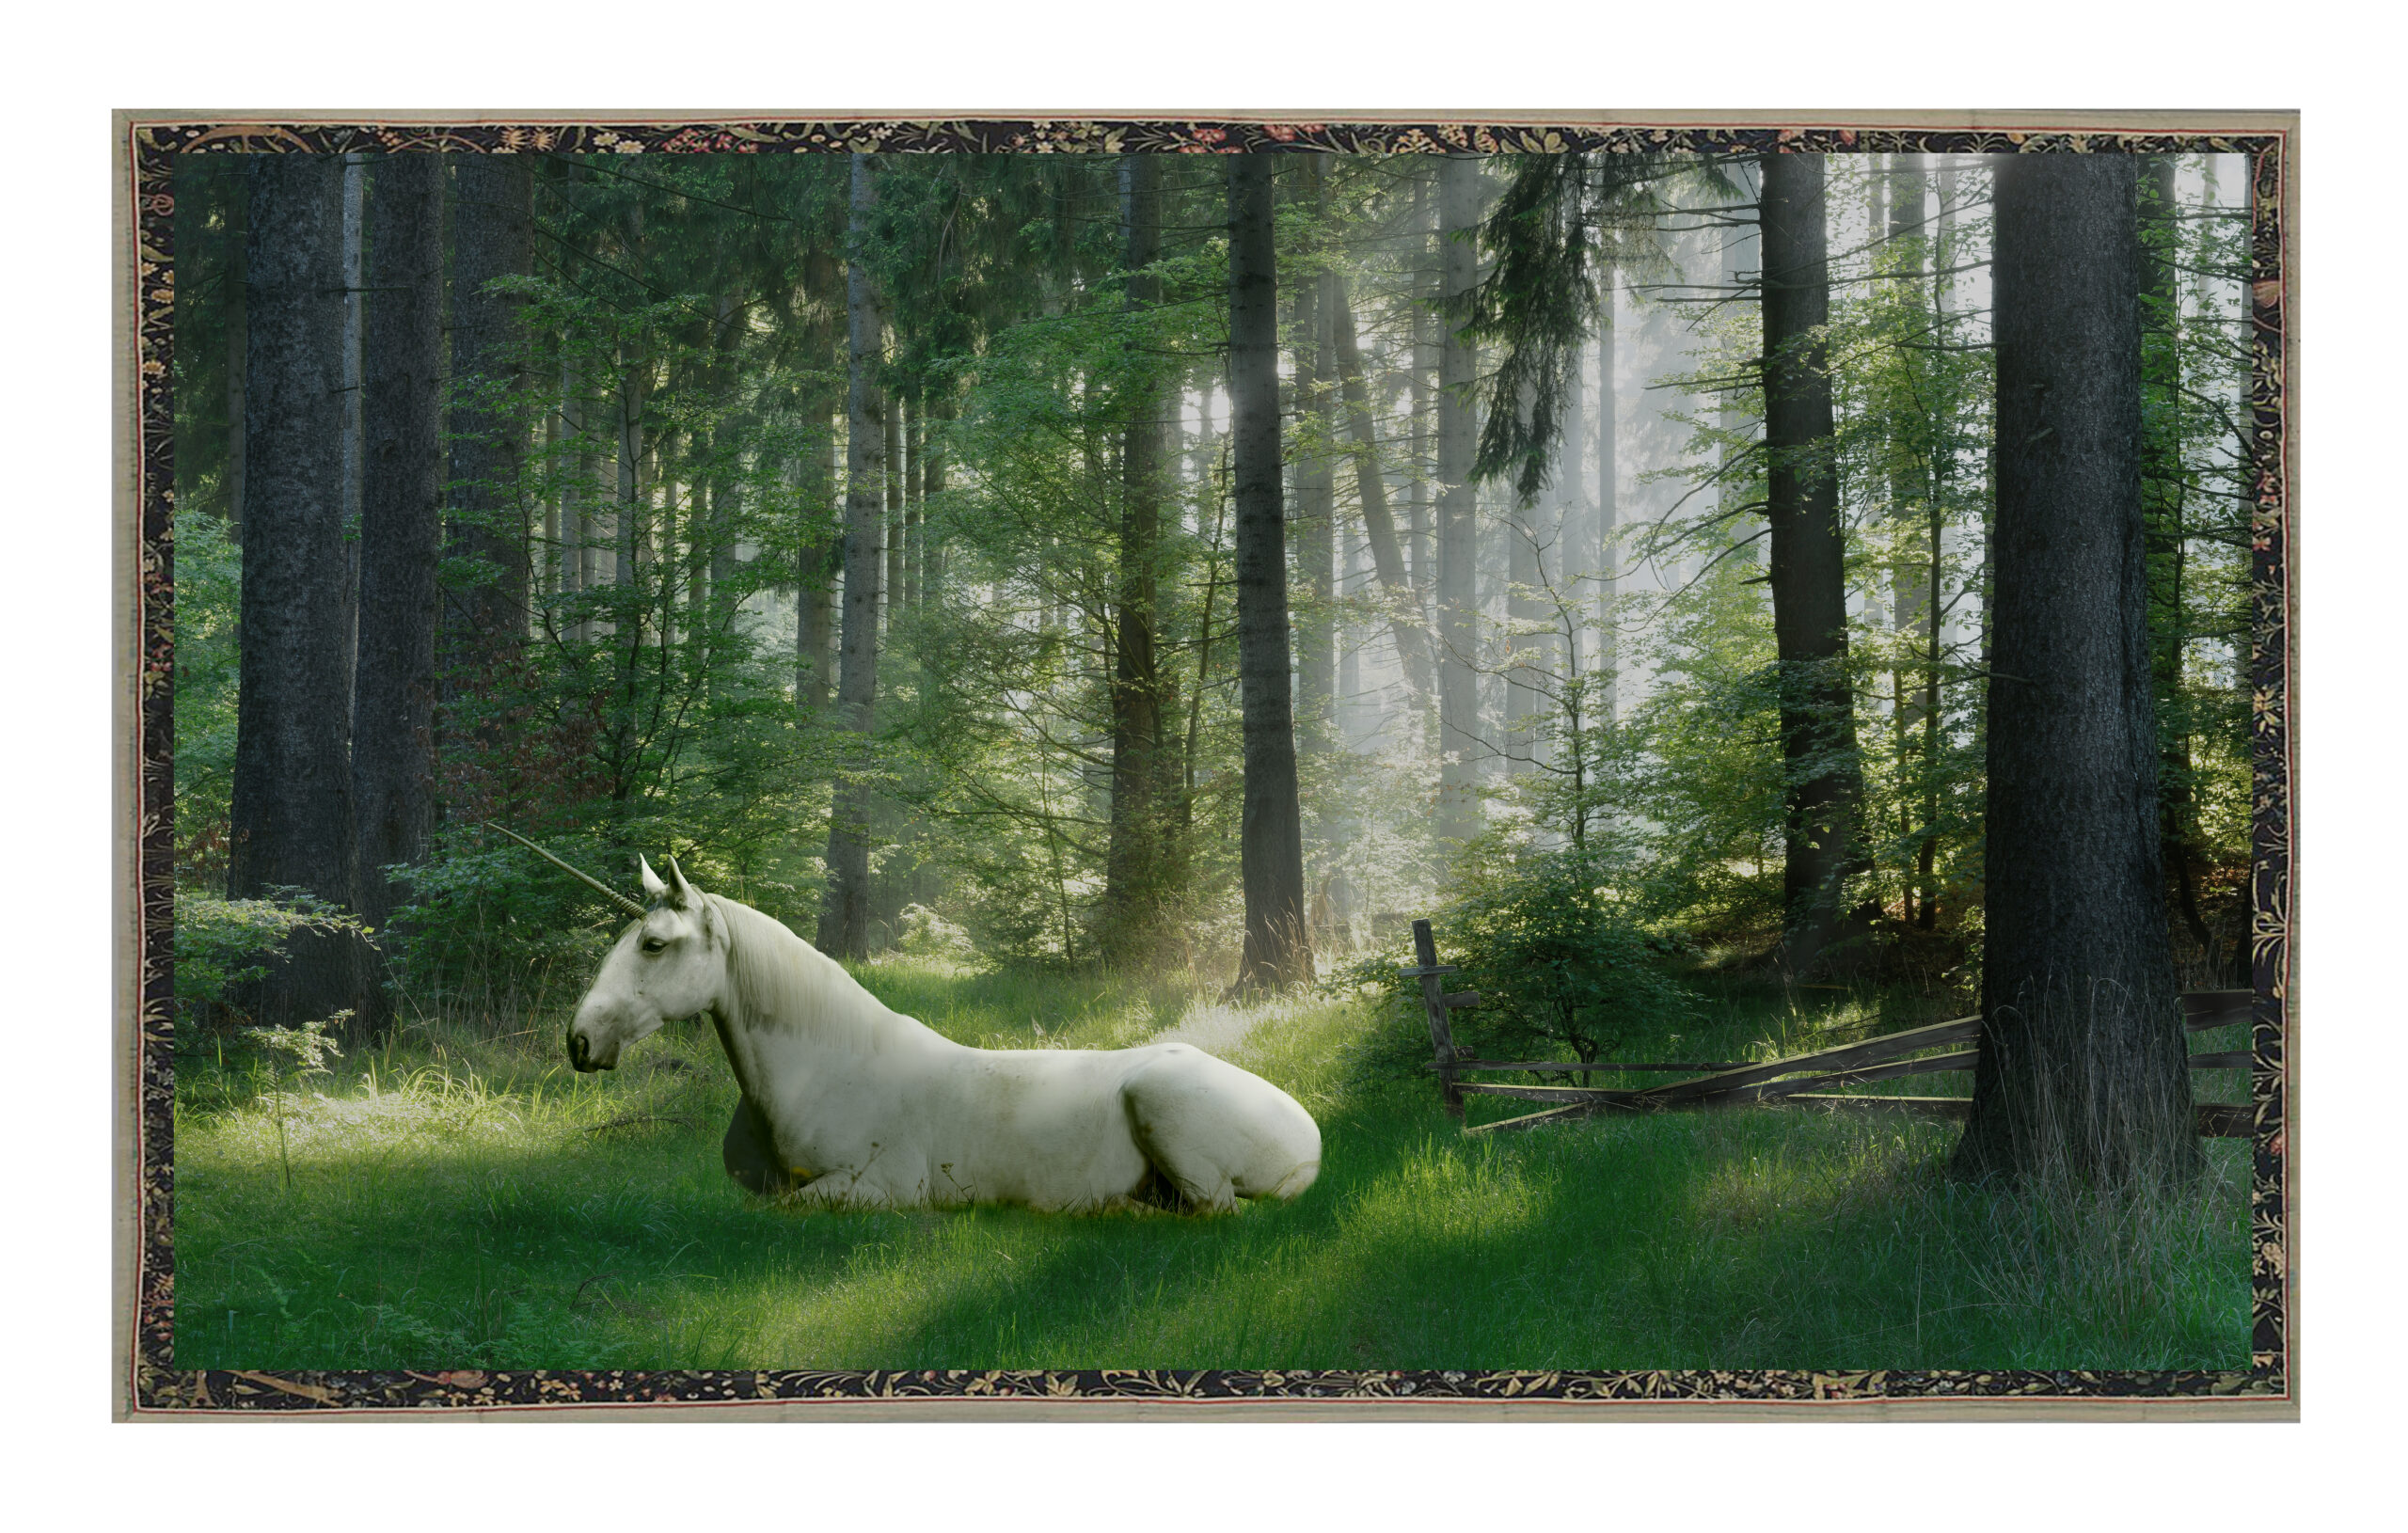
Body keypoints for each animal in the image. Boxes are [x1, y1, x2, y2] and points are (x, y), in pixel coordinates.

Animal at [565, 856, 1322, 1213]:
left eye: (654, 945)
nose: (579, 1040)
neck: (829, 1069)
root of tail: (1309, 1134)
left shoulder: (881, 1190)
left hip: (1164, 1104)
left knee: (1213, 1210)